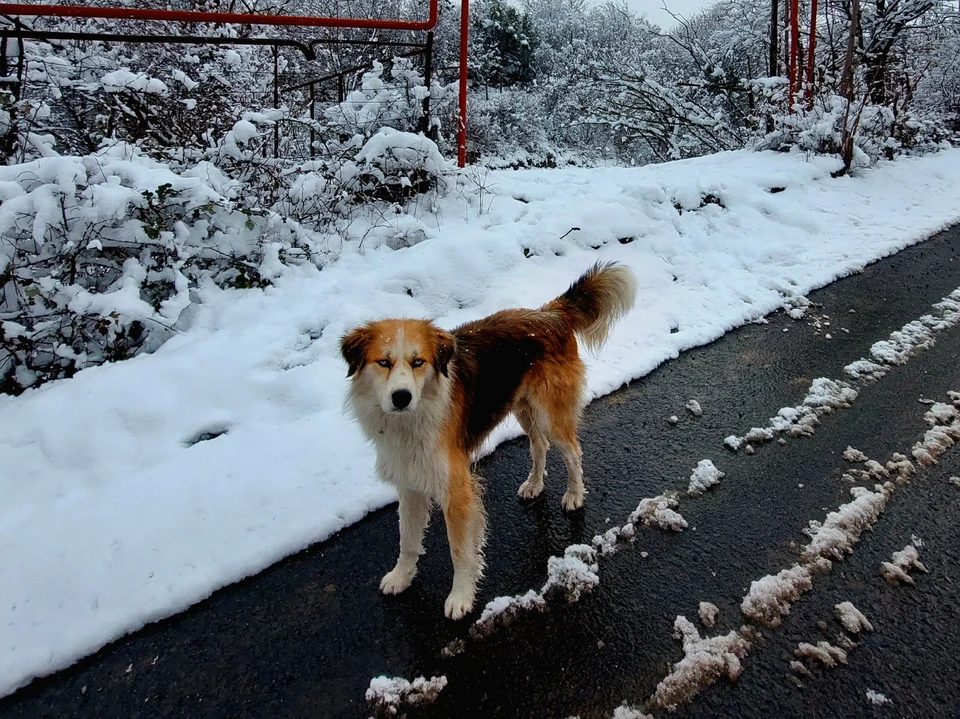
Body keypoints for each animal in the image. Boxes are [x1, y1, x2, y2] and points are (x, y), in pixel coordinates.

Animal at [340, 262, 636, 620]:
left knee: (572, 452)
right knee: (539, 445)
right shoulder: (409, 484)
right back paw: (534, 484)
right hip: (522, 406)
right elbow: (407, 540)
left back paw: (574, 494)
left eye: (418, 362)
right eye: (383, 362)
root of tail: (549, 314)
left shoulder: (457, 489)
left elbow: (460, 550)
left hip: (551, 414)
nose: (401, 397)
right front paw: (402, 577)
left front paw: (461, 597)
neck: (413, 417)